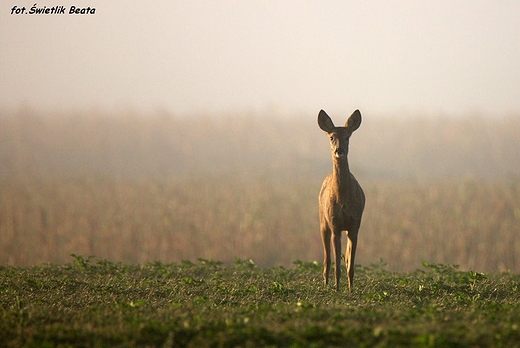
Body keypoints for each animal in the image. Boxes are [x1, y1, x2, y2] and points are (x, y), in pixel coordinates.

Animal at [316, 110, 366, 292]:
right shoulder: (335, 224)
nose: (340, 150)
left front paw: (351, 290)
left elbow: (350, 264)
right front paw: (337, 289)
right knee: (327, 259)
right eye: (331, 137)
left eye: (347, 137)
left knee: (345, 259)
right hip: (323, 222)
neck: (343, 198)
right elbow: (336, 263)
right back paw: (326, 284)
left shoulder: (355, 224)